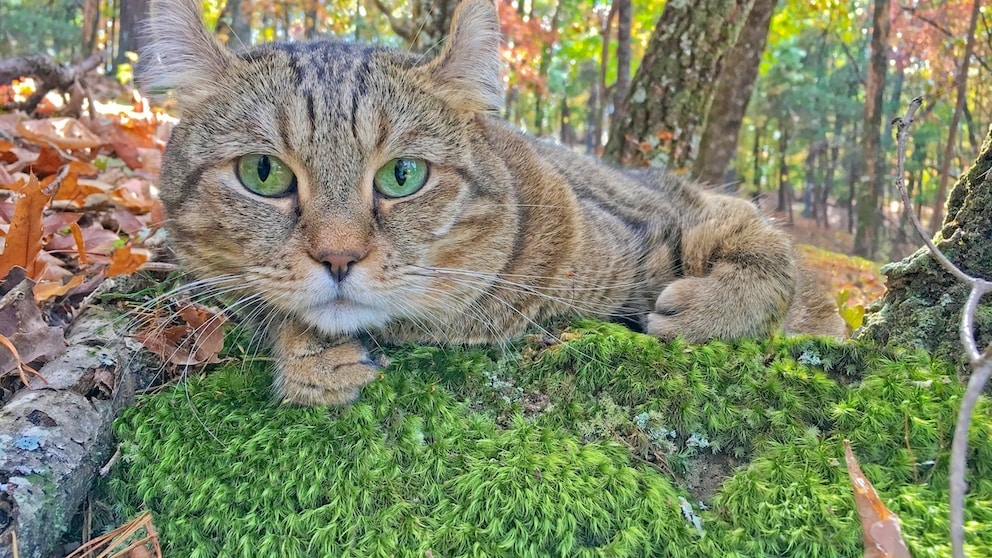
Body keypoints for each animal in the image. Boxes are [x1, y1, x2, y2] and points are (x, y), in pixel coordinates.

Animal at [140, 0, 844, 406]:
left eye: (402, 176)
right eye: (262, 173)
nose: (338, 258)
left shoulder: (685, 212)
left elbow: (770, 257)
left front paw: (711, 312)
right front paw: (304, 355)